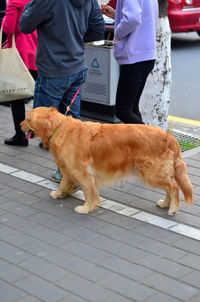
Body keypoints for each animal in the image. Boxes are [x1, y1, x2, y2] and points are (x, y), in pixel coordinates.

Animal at [20, 106, 194, 215]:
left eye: (27, 119)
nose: (20, 125)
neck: (60, 127)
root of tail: (170, 137)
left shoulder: (83, 174)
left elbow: (89, 192)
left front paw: (86, 208)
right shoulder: (70, 170)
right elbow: (64, 184)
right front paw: (58, 194)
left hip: (150, 173)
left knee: (173, 186)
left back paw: (173, 208)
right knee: (170, 187)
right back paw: (165, 204)